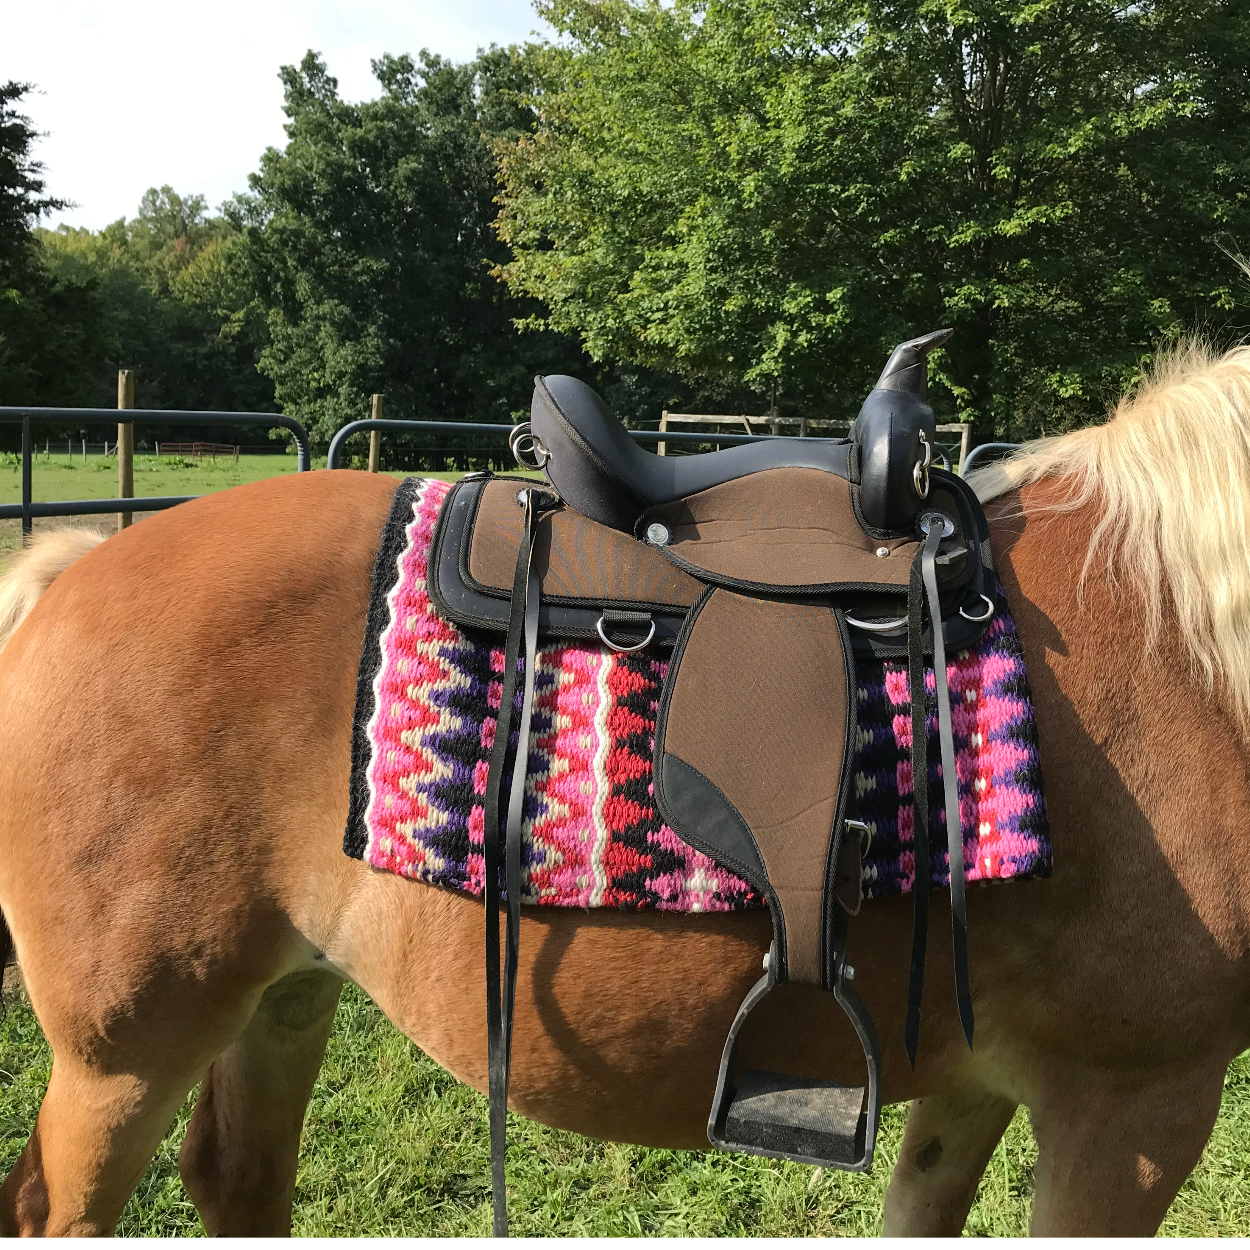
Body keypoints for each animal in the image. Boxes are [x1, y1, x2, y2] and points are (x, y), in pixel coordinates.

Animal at [0, 345, 1245, 1240]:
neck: (1186, 643)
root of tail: (69, 570)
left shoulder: (979, 1081)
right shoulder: (1132, 1100)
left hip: (285, 992)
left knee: (237, 1177)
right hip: (123, 1049)